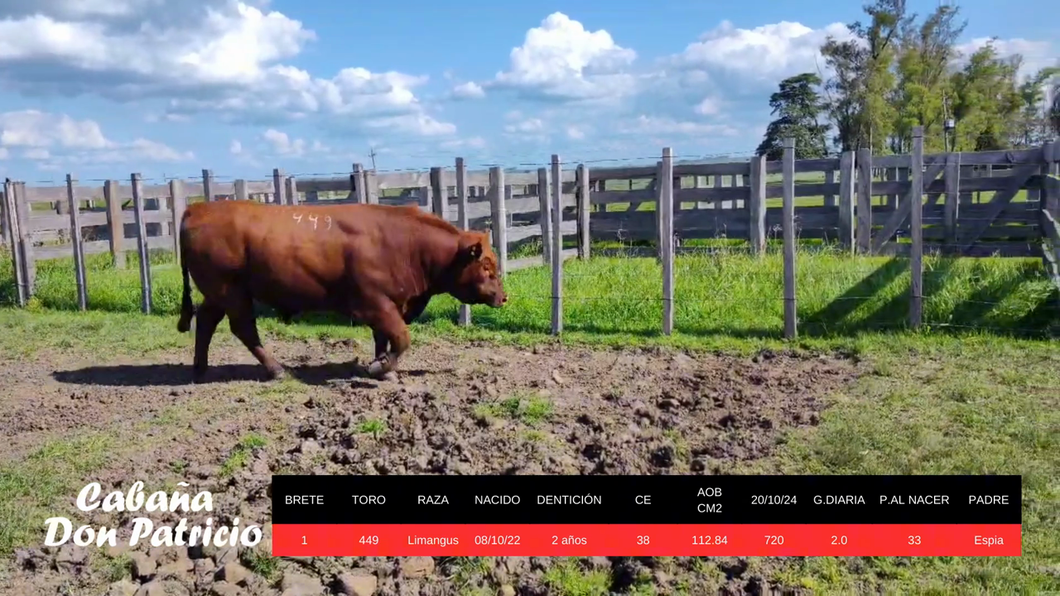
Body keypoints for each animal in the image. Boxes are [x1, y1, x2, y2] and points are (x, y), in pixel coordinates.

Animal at [178, 200, 508, 379]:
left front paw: (384, 366)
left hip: (218, 294)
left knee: (206, 320)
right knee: (244, 328)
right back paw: (276, 369)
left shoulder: (389, 304)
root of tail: (198, 208)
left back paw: (200, 368)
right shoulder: (374, 303)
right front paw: (378, 369)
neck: (408, 244)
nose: (504, 297)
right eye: (486, 266)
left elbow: (384, 338)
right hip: (230, 291)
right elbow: (401, 337)